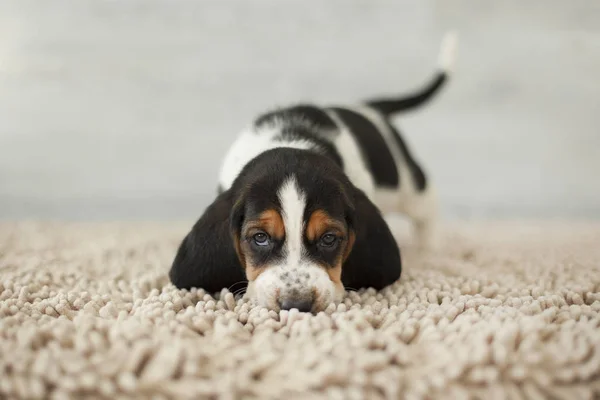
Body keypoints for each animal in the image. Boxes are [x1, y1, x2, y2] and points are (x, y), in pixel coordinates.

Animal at [166, 32, 458, 312]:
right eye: (260, 237)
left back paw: (431, 248)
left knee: (427, 208)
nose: (297, 305)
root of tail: (369, 108)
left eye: (329, 238)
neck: (292, 139)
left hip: (408, 189)